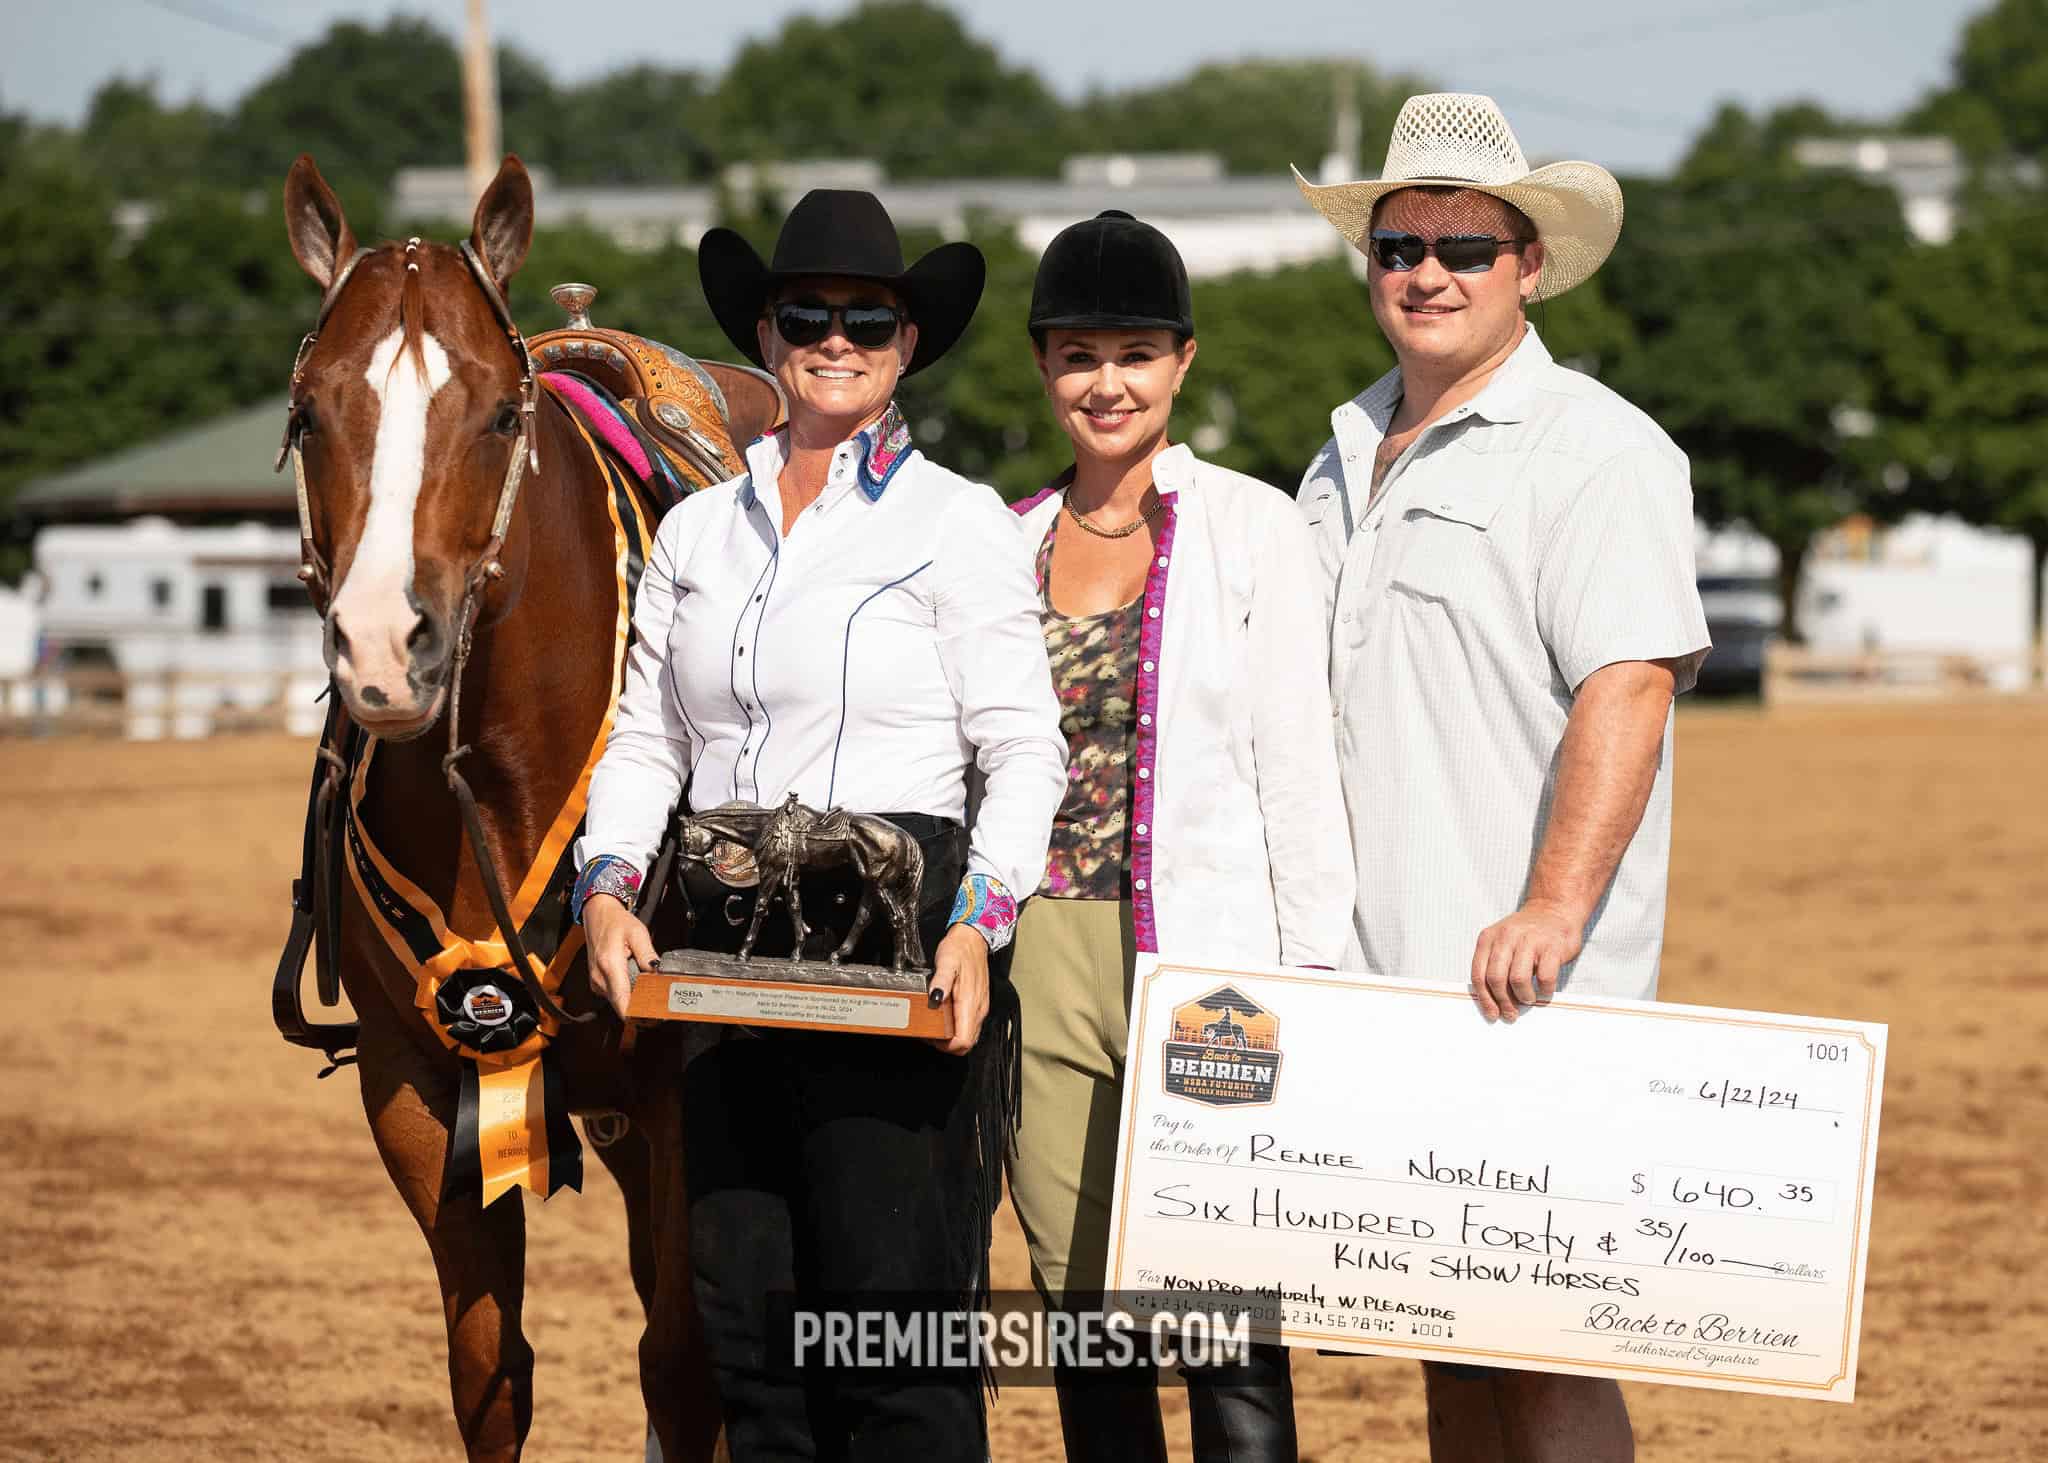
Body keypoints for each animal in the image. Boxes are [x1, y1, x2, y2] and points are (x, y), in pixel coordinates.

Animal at [274, 152, 762, 1462]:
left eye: (500, 413)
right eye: (308, 414)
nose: (383, 648)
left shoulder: (680, 1091)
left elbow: (683, 1367)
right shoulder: (412, 1083)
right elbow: (489, 1375)